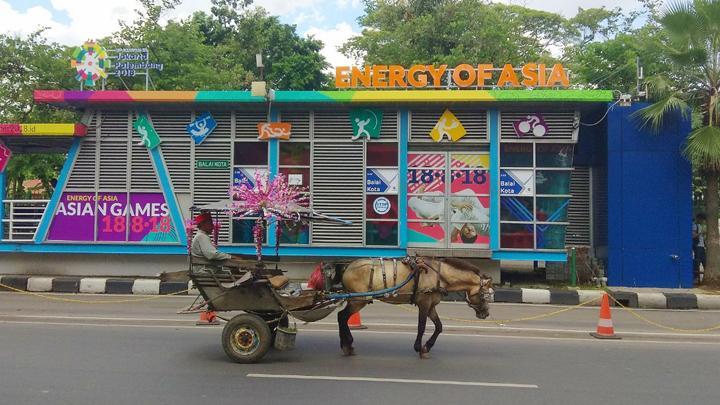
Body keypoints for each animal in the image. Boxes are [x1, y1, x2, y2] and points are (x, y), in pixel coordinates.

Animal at [334, 256, 492, 356]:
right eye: (485, 295)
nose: (486, 313)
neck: (439, 276)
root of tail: (348, 266)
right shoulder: (424, 303)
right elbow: (421, 326)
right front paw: (419, 347)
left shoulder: (431, 305)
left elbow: (439, 326)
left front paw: (427, 346)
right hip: (358, 300)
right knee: (342, 317)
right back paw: (347, 344)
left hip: (356, 300)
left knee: (341, 317)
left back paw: (347, 344)